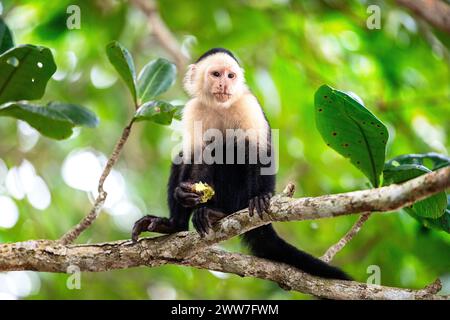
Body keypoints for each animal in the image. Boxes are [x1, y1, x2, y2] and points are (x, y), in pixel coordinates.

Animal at [132, 47, 350, 280]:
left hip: (238, 198)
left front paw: (261, 197)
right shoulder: (193, 109)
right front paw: (182, 195)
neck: (220, 107)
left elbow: (259, 151)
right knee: (196, 152)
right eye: (216, 74)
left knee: (232, 147)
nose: (224, 84)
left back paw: (220, 212)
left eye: (231, 76)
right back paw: (176, 224)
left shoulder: (248, 105)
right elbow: (191, 155)